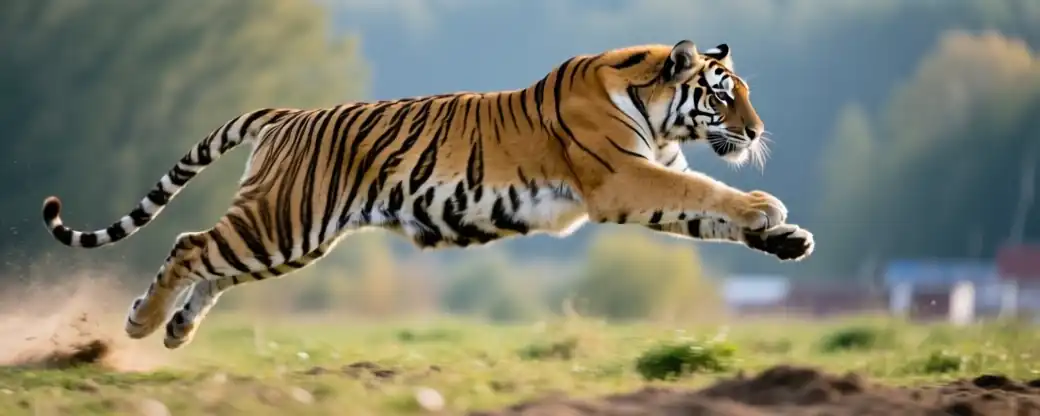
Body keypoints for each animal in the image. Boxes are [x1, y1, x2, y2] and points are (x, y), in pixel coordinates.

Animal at [41, 40, 814, 349]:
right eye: (725, 95)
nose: (758, 130)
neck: (658, 113)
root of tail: (287, 114)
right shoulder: (625, 177)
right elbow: (705, 188)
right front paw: (765, 209)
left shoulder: (644, 180)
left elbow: (703, 210)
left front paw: (787, 238)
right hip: (284, 223)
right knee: (190, 244)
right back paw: (141, 324)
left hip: (286, 237)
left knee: (210, 261)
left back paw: (176, 328)